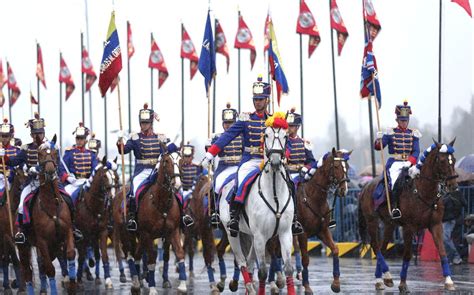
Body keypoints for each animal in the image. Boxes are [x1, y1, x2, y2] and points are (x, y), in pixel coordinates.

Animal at [17, 137, 77, 295]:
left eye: (56, 152)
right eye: (39, 153)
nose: (50, 171)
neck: (51, 204)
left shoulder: (67, 232)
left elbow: (70, 254)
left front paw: (72, 284)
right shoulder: (42, 241)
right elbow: (49, 269)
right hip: (24, 247)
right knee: (28, 272)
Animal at [76, 156, 117, 290]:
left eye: (115, 176)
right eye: (104, 176)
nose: (112, 197)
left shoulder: (102, 232)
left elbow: (103, 255)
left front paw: (108, 280)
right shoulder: (84, 234)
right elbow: (82, 257)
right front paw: (79, 280)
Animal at [219, 125, 294, 295]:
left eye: (285, 136)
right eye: (266, 135)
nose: (275, 160)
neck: (274, 193)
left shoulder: (285, 233)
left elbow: (288, 269)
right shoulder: (260, 236)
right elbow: (263, 272)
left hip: (252, 236)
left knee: (249, 261)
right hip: (232, 234)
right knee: (242, 261)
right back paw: (249, 287)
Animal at [292, 149, 348, 294]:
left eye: (347, 166)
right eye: (336, 166)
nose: (344, 190)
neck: (314, 198)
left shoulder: (322, 230)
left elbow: (335, 249)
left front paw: (336, 284)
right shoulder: (303, 233)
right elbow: (306, 259)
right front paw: (307, 287)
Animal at [360, 140, 460, 292]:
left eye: (453, 160)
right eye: (442, 160)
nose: (453, 185)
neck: (424, 191)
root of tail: (366, 186)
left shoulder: (436, 225)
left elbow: (442, 251)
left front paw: (449, 281)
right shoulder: (409, 227)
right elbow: (407, 255)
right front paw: (403, 284)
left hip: (389, 224)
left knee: (382, 248)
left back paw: (381, 279)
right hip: (372, 221)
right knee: (375, 246)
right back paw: (385, 277)